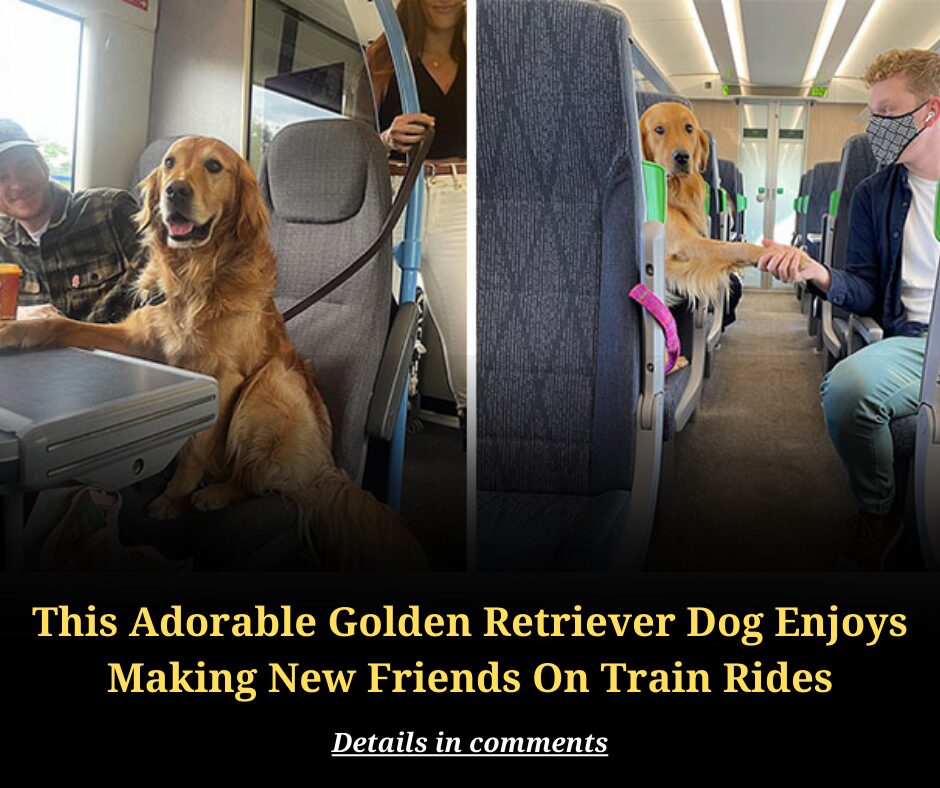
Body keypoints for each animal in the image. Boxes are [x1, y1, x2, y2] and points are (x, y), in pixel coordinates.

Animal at [0, 137, 430, 572]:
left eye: (213, 166)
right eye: (169, 163)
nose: (175, 190)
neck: (194, 275)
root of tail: (327, 467)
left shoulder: (223, 379)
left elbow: (196, 444)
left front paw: (173, 500)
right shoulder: (138, 341)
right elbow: (61, 326)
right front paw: (14, 330)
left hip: (271, 384)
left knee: (262, 480)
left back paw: (214, 494)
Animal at [644, 99, 812, 308]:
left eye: (689, 128)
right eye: (659, 129)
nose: (682, 157)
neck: (675, 189)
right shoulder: (686, 244)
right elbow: (738, 247)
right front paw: (792, 256)